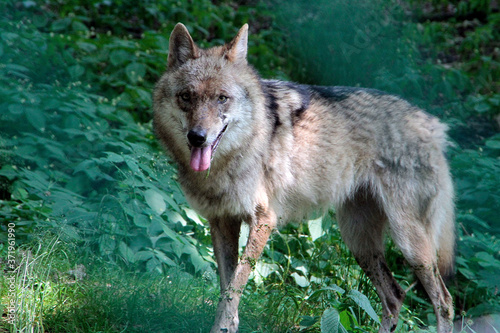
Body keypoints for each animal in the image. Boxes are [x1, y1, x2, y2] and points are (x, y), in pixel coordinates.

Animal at [153, 22, 458, 330]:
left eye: (222, 98)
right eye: (186, 97)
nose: (197, 137)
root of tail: (434, 126)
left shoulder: (264, 220)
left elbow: (234, 287)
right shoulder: (221, 222)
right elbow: (226, 287)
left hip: (410, 245)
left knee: (444, 302)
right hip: (359, 240)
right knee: (394, 297)